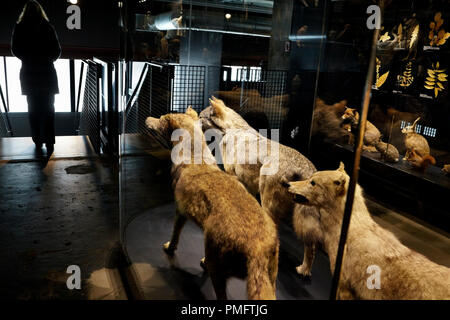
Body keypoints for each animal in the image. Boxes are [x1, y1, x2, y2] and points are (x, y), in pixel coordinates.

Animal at [145, 108, 278, 300]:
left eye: (162, 118)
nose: (147, 117)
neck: (195, 156)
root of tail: (258, 250)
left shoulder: (180, 210)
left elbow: (175, 234)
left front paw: (169, 248)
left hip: (217, 271)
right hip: (271, 279)